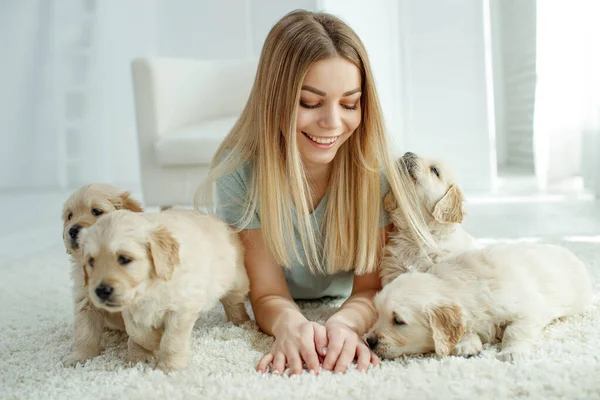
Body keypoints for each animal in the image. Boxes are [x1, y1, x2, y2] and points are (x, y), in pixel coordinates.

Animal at [61, 184, 143, 366]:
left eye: (97, 211)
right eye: (70, 216)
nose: (73, 230)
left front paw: (138, 360)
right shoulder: (86, 300)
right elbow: (85, 333)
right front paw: (80, 357)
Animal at [79, 209, 248, 372]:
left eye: (125, 259)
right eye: (91, 261)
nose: (101, 291)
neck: (149, 289)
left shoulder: (182, 308)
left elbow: (171, 340)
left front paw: (168, 366)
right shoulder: (130, 311)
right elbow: (137, 332)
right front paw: (153, 342)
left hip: (235, 279)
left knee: (235, 302)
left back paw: (242, 322)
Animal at [368, 242, 592, 360]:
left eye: (398, 321)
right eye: (378, 314)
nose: (368, 341)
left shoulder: (528, 309)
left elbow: (515, 330)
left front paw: (512, 352)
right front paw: (466, 344)